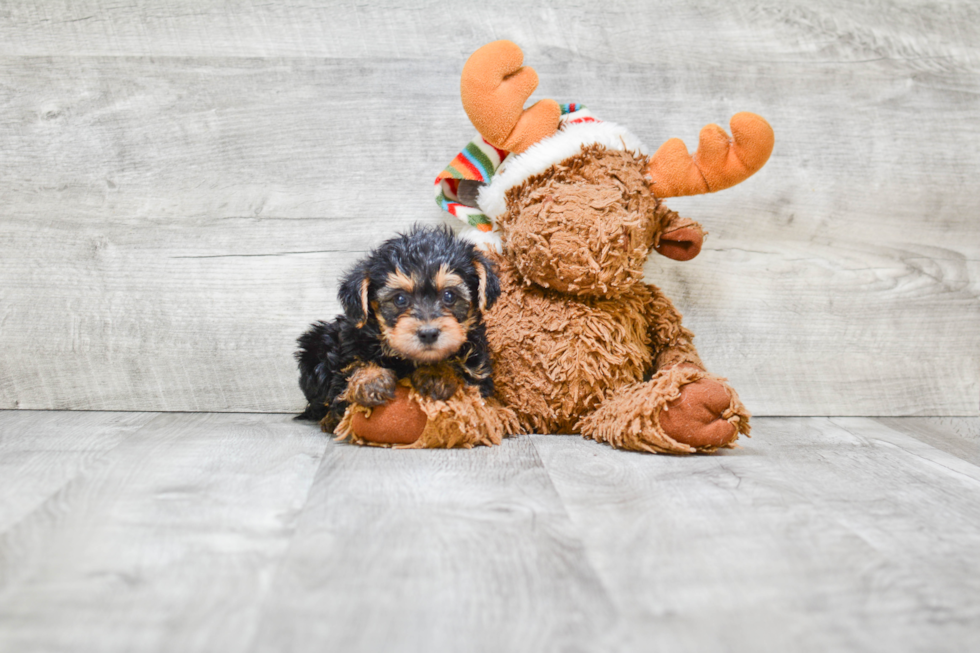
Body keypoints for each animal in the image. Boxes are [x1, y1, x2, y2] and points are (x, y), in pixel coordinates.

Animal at [294, 225, 502, 432]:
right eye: (400, 299)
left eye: (449, 296)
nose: (428, 333)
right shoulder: (349, 338)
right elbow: (350, 362)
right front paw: (370, 380)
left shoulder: (478, 370)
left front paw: (437, 373)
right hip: (317, 343)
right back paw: (329, 419)